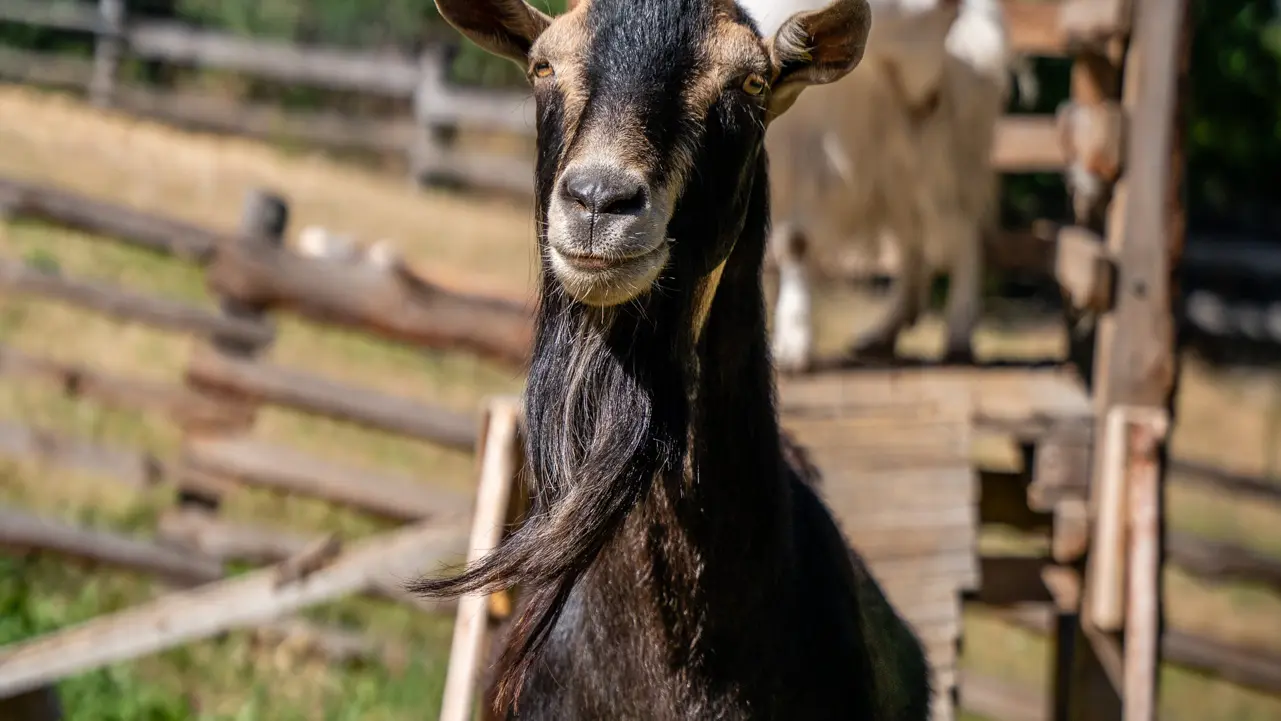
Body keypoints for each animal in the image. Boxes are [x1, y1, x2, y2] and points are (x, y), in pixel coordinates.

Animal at [748, 0, 1014, 368]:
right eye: (943, 20)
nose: (932, 101)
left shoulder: (809, 159)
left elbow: (796, 241)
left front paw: (793, 344)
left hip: (944, 155)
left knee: (960, 234)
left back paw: (958, 335)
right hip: (898, 165)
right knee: (914, 243)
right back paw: (885, 333)